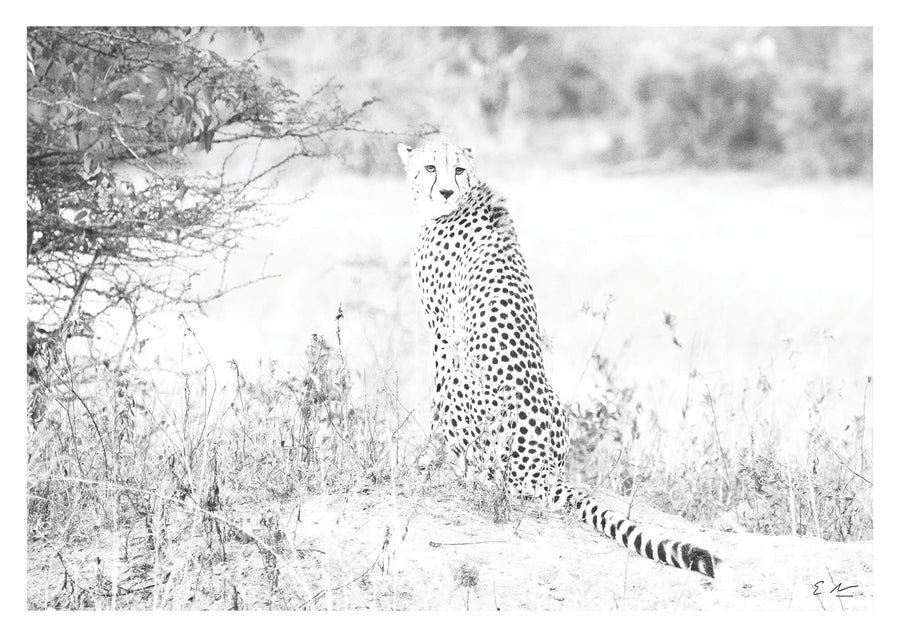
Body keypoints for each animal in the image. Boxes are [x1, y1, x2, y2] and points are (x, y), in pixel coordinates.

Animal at [398, 140, 720, 578]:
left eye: (458, 169)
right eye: (431, 168)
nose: (446, 191)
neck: (466, 198)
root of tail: (542, 468)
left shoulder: (443, 333)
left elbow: (434, 397)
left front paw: (427, 458)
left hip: (470, 394)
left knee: (488, 474)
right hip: (557, 407)